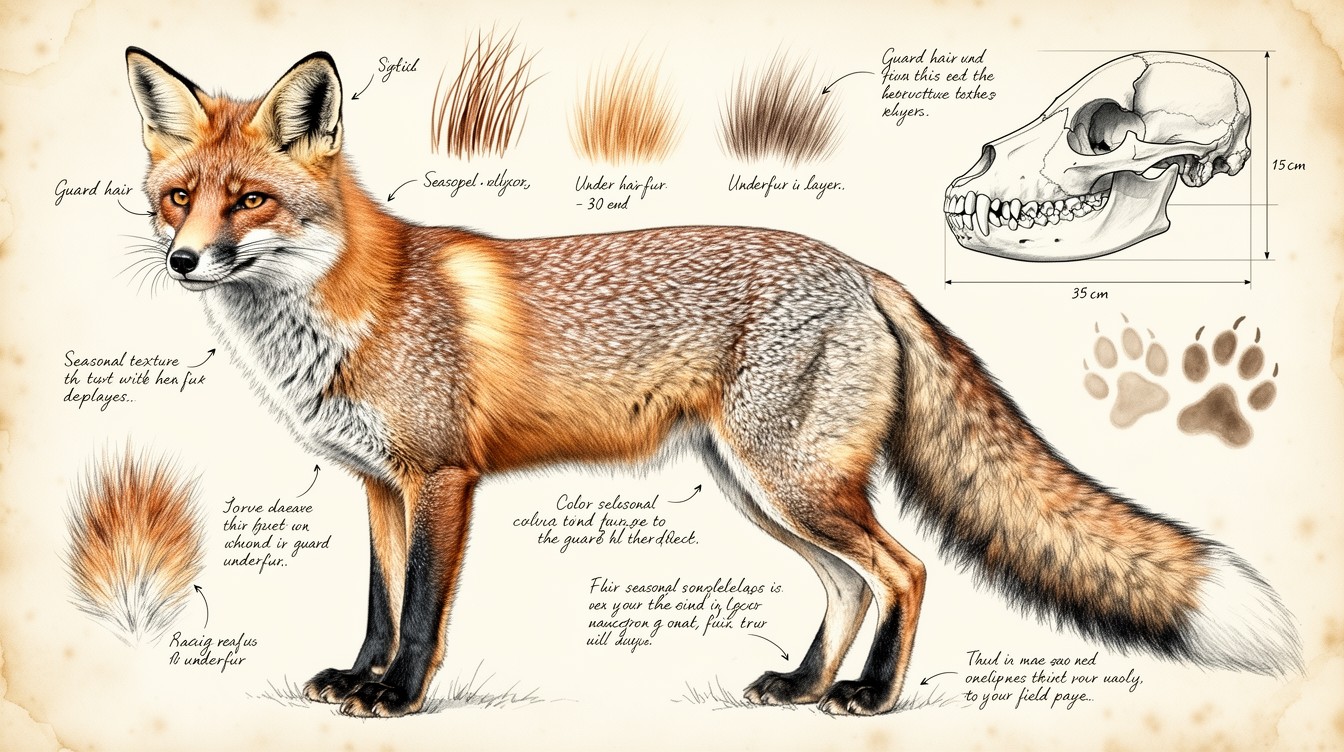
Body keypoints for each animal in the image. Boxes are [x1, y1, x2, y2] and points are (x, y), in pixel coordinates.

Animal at [124, 48, 1300, 718]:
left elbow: (418, 612)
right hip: (760, 490)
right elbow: (374, 603)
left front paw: (399, 697)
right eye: (179, 196)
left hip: (794, 482)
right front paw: (358, 679)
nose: (182, 261)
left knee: (908, 569)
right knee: (851, 584)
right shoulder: (379, 485)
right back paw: (805, 685)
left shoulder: (442, 480)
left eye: (251, 201)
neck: (339, 311)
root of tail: (862, 267)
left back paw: (869, 696)